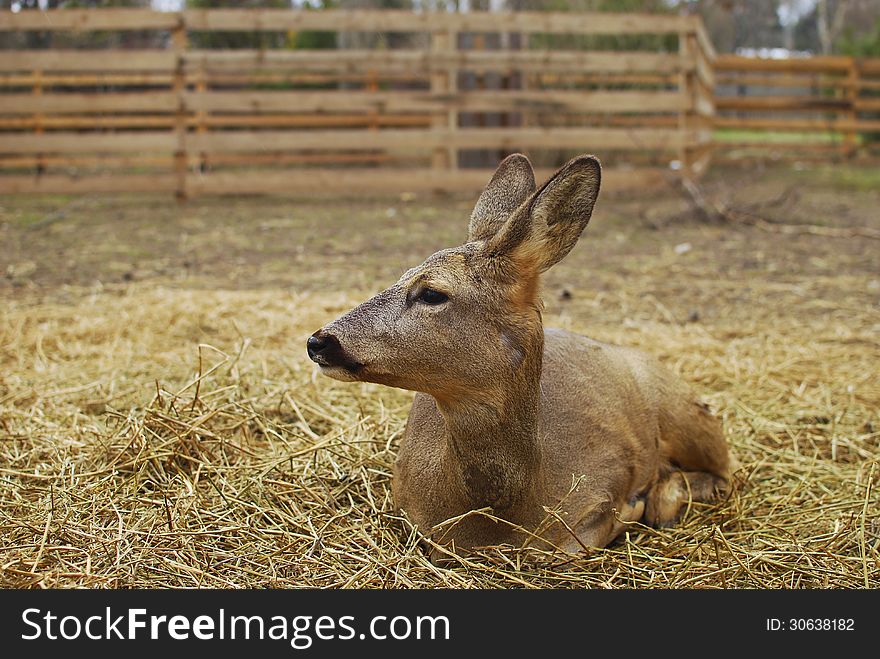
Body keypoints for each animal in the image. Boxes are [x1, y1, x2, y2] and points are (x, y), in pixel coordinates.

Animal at [306, 156, 732, 564]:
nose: (319, 341)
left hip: (688, 415)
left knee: (727, 472)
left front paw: (643, 501)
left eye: (432, 293)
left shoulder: (607, 481)